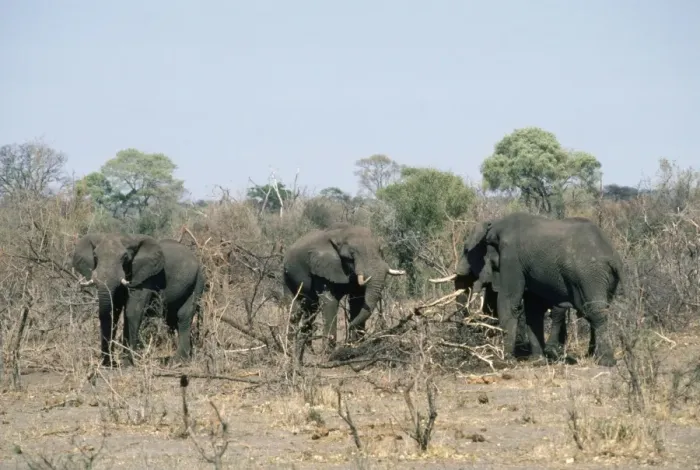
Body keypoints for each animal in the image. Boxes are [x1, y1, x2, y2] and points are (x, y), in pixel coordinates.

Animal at [73, 233, 206, 367]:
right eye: (95, 256)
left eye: (125, 257)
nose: (109, 363)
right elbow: (114, 310)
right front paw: (111, 364)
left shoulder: (145, 277)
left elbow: (132, 311)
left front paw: (127, 363)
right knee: (172, 318)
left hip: (198, 280)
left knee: (183, 315)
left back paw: (179, 361)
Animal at [283, 224, 405, 361]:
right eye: (351, 256)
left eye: (380, 250)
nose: (349, 325)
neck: (341, 234)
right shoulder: (322, 268)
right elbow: (330, 302)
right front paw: (329, 354)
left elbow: (357, 301)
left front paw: (356, 346)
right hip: (287, 276)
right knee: (295, 309)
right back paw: (290, 351)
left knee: (310, 310)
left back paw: (307, 352)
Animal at [430, 213, 623, 367]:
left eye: (465, 250)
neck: (495, 226)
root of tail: (612, 255)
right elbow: (533, 310)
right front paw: (537, 360)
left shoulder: (511, 258)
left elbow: (508, 303)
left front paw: (503, 360)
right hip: (603, 278)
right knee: (592, 312)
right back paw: (591, 356)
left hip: (590, 274)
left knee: (595, 311)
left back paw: (605, 361)